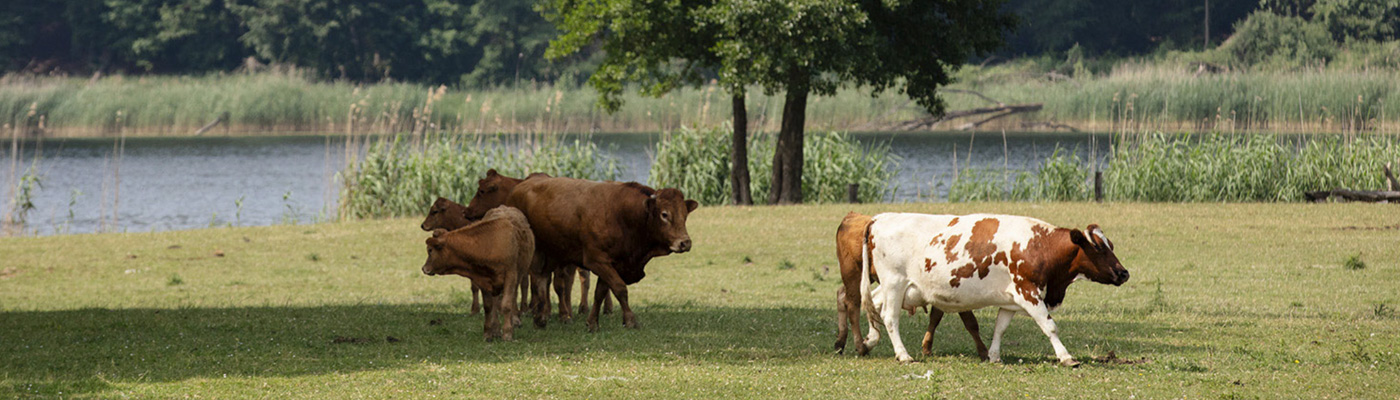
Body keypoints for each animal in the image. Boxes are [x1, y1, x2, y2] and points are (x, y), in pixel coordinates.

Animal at [417, 205, 532, 341]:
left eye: (430, 250)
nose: (424, 268)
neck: (490, 243)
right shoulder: (483, 280)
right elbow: (488, 307)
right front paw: (488, 333)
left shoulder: (511, 276)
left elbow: (506, 305)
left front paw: (508, 333)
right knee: (495, 304)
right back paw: (496, 329)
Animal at [464, 168, 613, 318]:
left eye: (481, 191)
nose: (466, 210)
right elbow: (538, 282)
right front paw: (541, 309)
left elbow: (556, 283)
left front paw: (559, 312)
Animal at [506, 178, 697, 331]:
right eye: (664, 214)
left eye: (685, 215)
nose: (685, 242)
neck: (622, 215)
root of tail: (519, 188)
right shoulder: (597, 260)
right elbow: (620, 288)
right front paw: (630, 320)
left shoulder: (612, 263)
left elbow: (600, 292)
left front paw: (592, 323)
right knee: (528, 281)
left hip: (552, 253)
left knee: (542, 279)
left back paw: (541, 318)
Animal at [856, 212, 1131, 366]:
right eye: (1099, 248)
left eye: (1111, 245)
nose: (1124, 273)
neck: (1039, 246)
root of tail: (880, 218)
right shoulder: (1028, 292)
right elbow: (1049, 326)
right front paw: (1066, 357)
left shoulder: (1011, 299)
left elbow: (1000, 328)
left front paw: (994, 356)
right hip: (894, 282)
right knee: (889, 318)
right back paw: (902, 355)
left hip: (896, 287)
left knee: (872, 306)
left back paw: (868, 342)